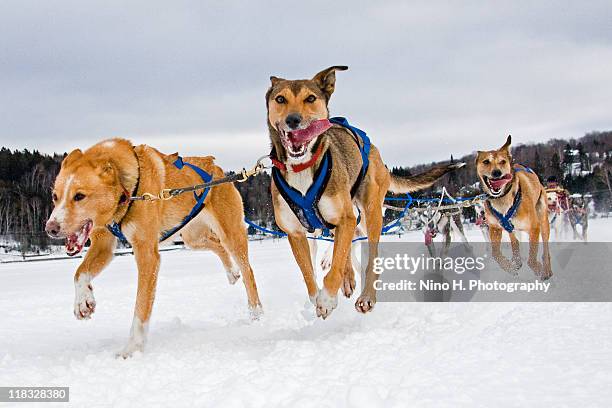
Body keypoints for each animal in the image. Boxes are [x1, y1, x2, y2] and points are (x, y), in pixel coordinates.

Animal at [44, 140, 260, 356]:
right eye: (55, 197)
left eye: (79, 196)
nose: (50, 228)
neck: (127, 192)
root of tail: (215, 166)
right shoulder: (103, 244)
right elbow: (79, 273)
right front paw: (83, 302)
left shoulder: (147, 254)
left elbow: (141, 306)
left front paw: (132, 348)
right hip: (193, 238)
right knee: (218, 246)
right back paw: (231, 272)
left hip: (230, 233)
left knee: (247, 271)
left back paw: (256, 313)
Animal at [266, 65, 462, 318]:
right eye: (280, 99)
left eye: (310, 98)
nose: (293, 120)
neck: (301, 167)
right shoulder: (296, 233)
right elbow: (309, 274)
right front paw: (319, 295)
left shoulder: (346, 218)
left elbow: (337, 263)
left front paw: (327, 298)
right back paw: (347, 277)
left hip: (371, 212)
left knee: (370, 258)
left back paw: (366, 295)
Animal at [476, 137, 552, 280]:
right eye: (486, 161)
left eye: (502, 161)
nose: (496, 172)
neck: (502, 199)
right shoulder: (494, 228)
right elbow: (495, 254)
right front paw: (510, 267)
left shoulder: (534, 228)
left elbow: (531, 260)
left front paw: (538, 268)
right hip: (510, 227)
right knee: (514, 241)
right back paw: (516, 260)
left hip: (543, 220)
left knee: (545, 250)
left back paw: (546, 270)